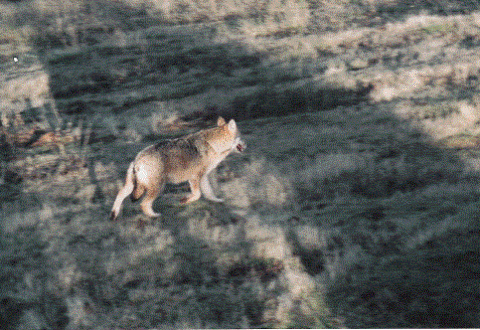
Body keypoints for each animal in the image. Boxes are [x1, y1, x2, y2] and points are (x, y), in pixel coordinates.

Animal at [110, 117, 246, 220]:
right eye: (241, 136)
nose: (246, 145)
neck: (214, 145)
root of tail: (137, 159)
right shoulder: (194, 178)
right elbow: (197, 195)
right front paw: (184, 200)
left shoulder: (203, 177)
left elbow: (209, 193)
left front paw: (217, 201)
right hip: (158, 188)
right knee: (144, 204)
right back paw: (154, 216)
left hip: (134, 187)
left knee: (120, 194)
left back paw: (114, 214)